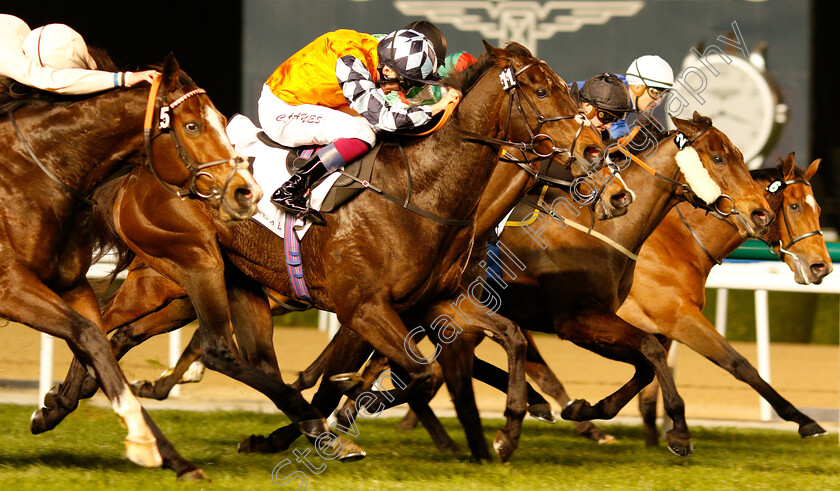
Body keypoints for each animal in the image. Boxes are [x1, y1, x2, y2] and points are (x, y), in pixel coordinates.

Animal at [0, 53, 260, 480]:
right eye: (192, 125)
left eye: (223, 120)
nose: (246, 191)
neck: (33, 173)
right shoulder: (12, 288)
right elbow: (90, 335)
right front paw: (141, 441)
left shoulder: (72, 284)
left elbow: (101, 345)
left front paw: (172, 457)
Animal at [32, 40, 612, 464]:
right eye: (542, 89)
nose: (594, 151)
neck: (420, 194)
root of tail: (140, 169)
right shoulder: (364, 308)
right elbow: (414, 374)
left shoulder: (436, 302)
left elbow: (509, 338)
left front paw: (510, 429)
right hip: (168, 276)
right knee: (104, 321)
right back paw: (63, 402)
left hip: (218, 287)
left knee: (138, 336)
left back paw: (68, 400)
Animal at [612, 154, 832, 446]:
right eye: (795, 206)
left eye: (817, 209)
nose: (822, 267)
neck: (678, 241)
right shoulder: (677, 316)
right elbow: (737, 363)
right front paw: (804, 420)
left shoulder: (661, 327)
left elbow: (647, 382)